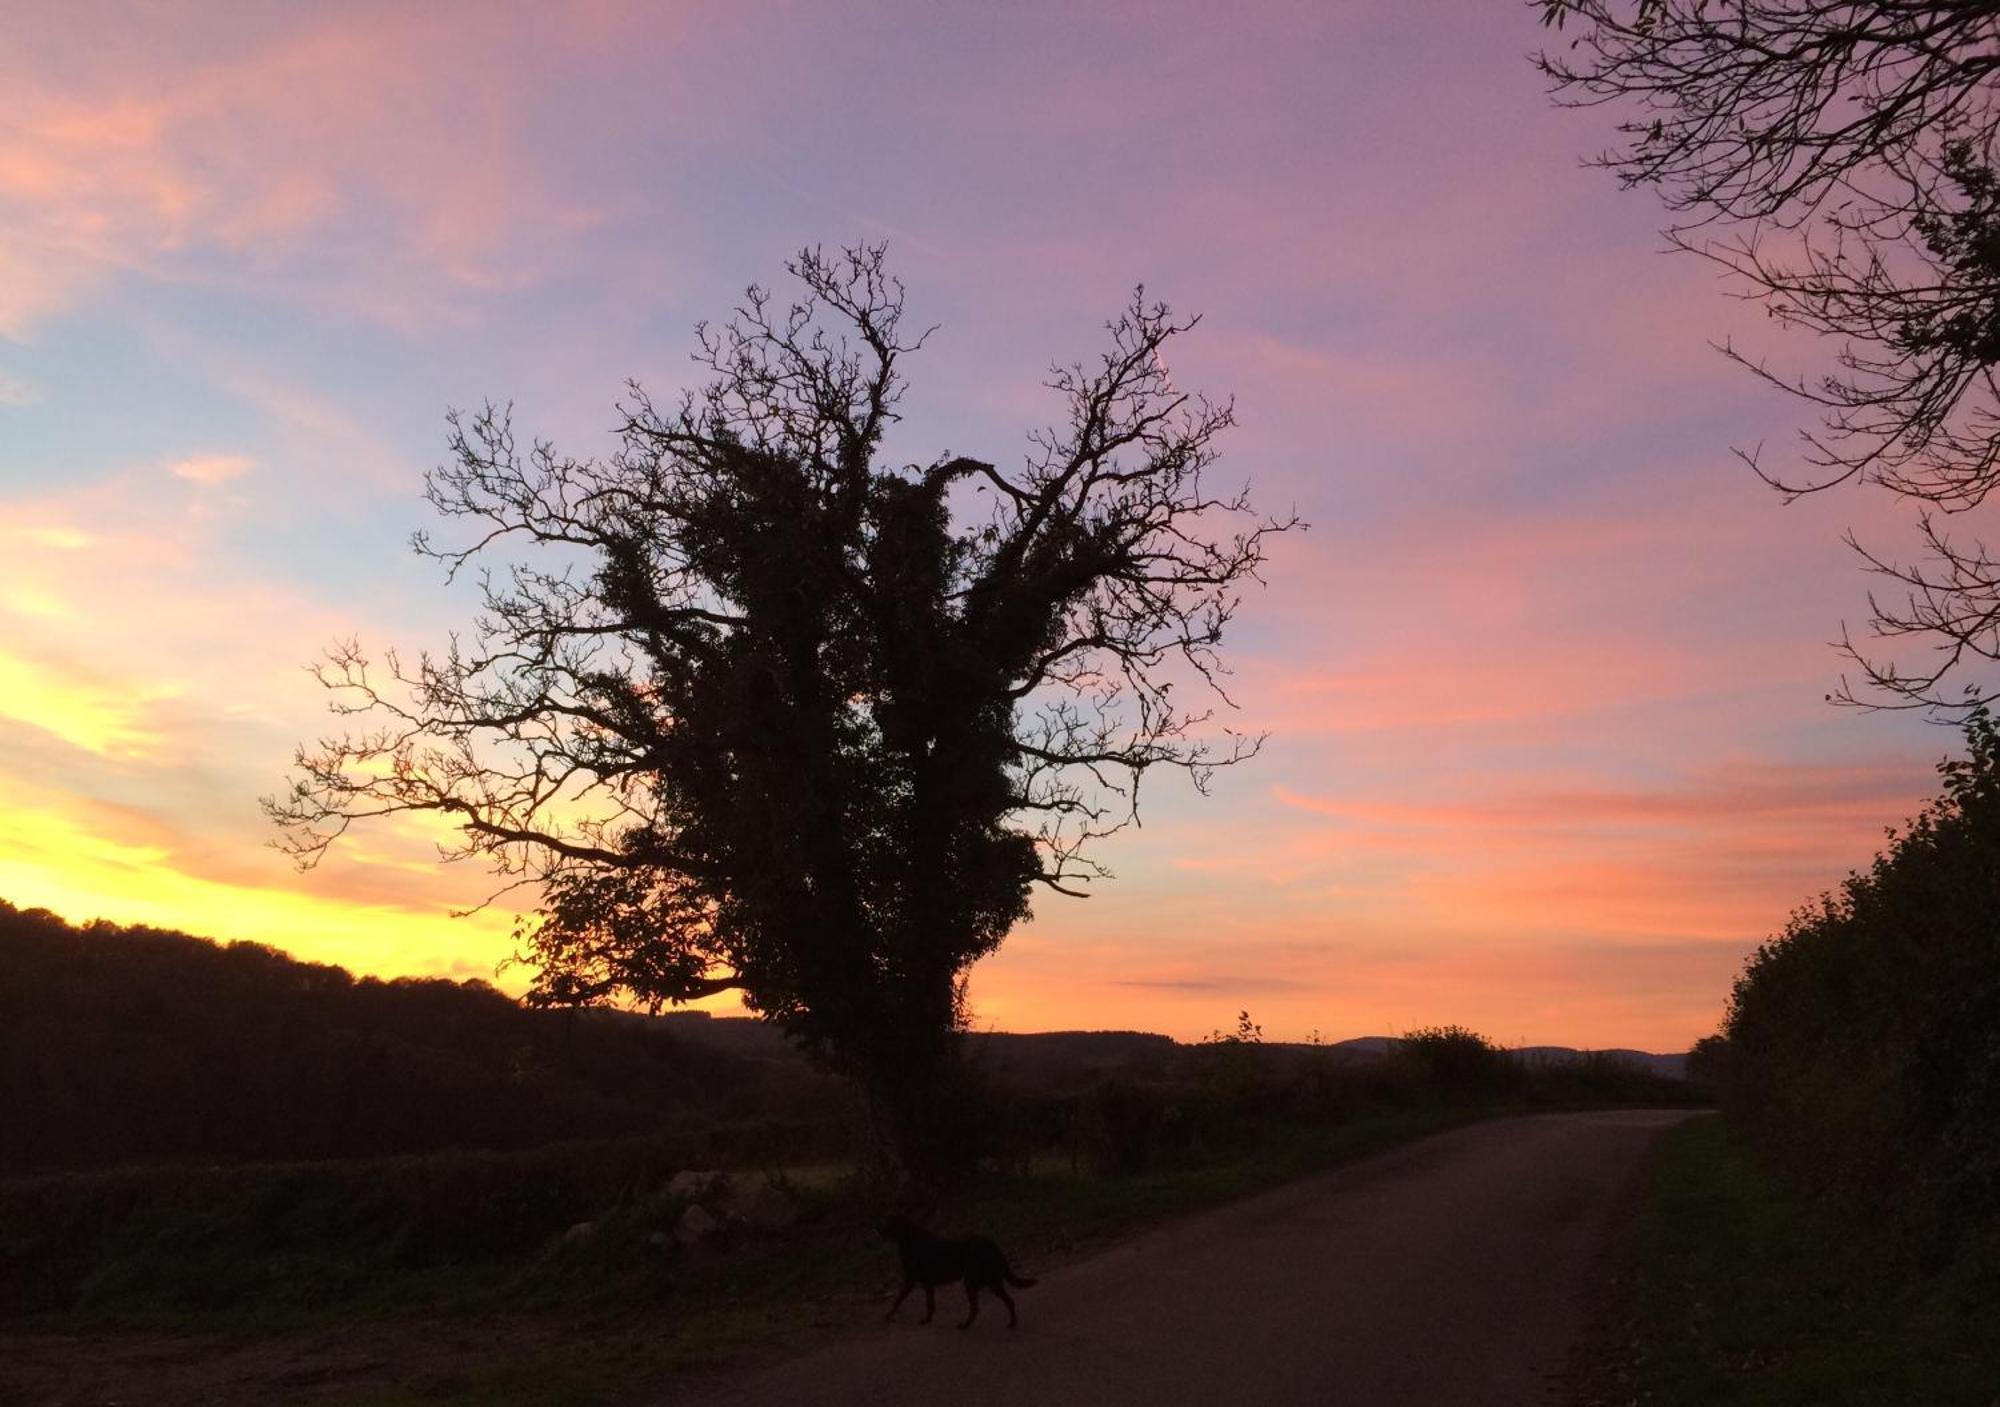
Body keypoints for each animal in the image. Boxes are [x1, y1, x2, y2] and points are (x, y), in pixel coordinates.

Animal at [880, 1207, 1040, 1327]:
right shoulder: (925, 1284)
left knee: (977, 1307)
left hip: (975, 1281)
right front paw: (927, 1319)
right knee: (1007, 1301)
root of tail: (991, 1243)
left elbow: (900, 1299)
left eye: (889, 1222)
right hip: (990, 1280)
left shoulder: (911, 1281)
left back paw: (966, 1325)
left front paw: (890, 1315)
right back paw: (1011, 1323)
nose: (877, 1228)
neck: (909, 1240)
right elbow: (928, 1304)